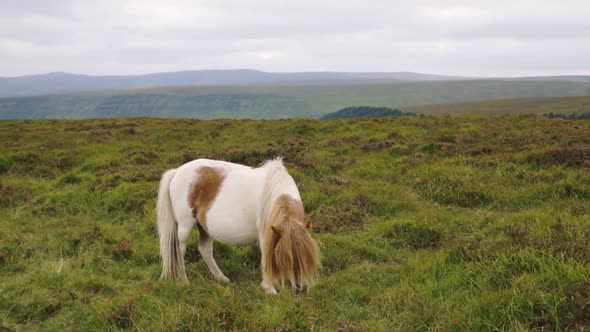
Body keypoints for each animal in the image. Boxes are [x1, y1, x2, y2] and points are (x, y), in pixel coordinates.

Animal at [157, 157, 322, 294]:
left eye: (308, 257)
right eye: (286, 259)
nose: (300, 289)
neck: (273, 189)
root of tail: (176, 172)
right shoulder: (266, 233)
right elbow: (265, 257)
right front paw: (269, 288)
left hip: (204, 227)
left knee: (205, 249)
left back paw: (221, 278)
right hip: (185, 225)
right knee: (180, 250)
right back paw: (184, 281)